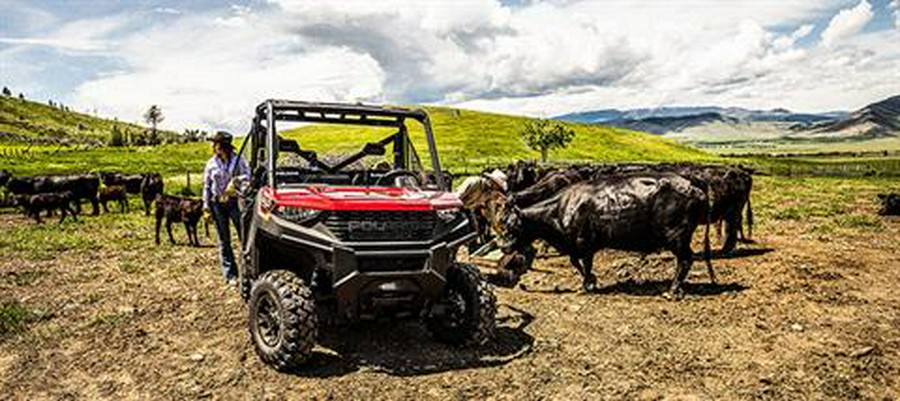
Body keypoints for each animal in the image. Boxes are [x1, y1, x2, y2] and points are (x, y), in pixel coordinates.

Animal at [492, 173, 712, 298]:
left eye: (512, 224)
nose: (503, 246)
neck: (559, 209)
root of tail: (693, 185)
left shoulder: (584, 242)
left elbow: (585, 264)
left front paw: (587, 285)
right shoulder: (576, 246)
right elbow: (576, 262)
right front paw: (591, 280)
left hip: (676, 237)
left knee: (685, 260)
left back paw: (672, 290)